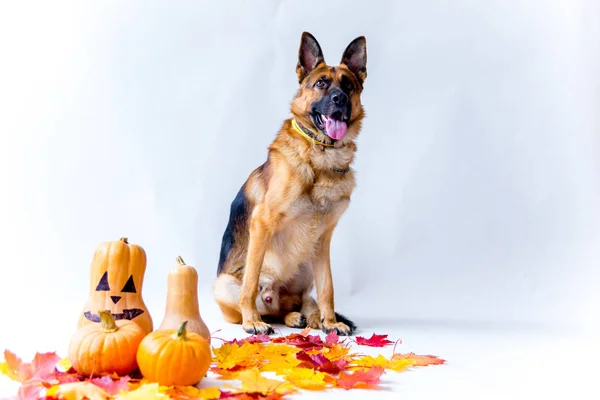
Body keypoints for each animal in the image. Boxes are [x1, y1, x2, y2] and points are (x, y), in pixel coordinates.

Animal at [213, 32, 368, 336]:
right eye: (321, 83)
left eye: (349, 85)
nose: (340, 99)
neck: (320, 158)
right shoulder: (261, 223)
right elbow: (250, 284)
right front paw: (251, 321)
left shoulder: (323, 240)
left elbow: (328, 289)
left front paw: (331, 322)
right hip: (223, 284)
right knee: (262, 302)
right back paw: (268, 317)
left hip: (305, 270)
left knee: (300, 303)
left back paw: (306, 317)